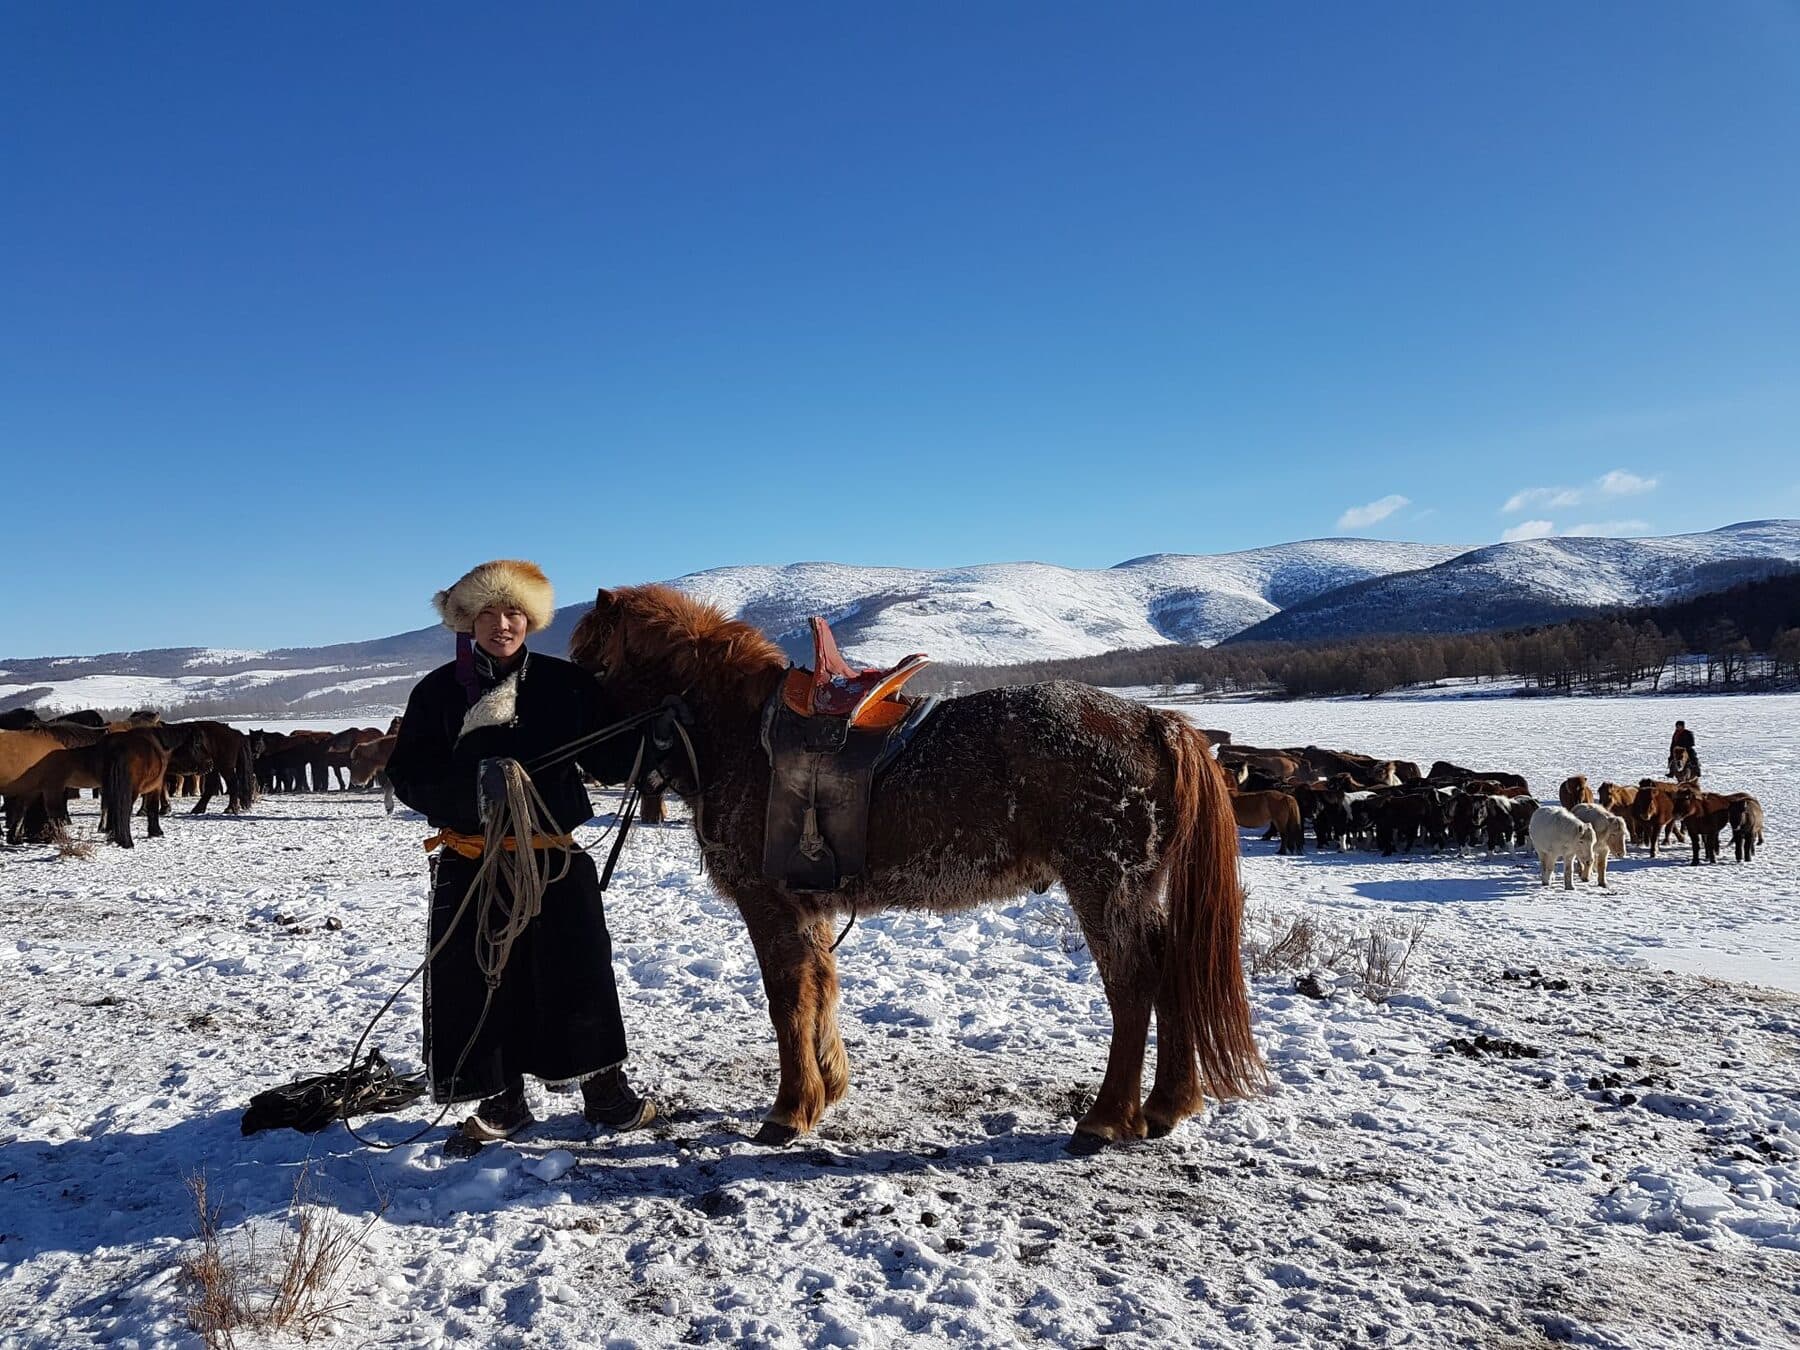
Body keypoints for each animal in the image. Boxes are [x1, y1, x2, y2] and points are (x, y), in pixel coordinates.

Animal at [570, 584, 1263, 1147]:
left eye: (588, 664)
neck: (739, 734)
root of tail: (1154, 722)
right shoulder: (808, 906)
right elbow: (820, 988)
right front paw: (827, 1089)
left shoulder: (769, 902)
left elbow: (787, 998)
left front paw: (790, 1109)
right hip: (1135, 890)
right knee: (1171, 971)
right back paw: (1167, 1104)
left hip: (1105, 886)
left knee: (1133, 984)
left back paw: (1106, 1118)